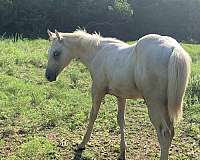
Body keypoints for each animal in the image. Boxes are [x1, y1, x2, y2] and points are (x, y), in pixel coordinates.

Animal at [45, 29, 191, 159]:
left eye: (56, 53)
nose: (48, 76)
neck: (97, 52)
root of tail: (174, 48)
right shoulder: (121, 96)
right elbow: (121, 120)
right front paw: (122, 152)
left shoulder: (97, 89)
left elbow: (93, 115)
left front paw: (82, 144)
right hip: (165, 105)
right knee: (171, 132)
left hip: (154, 104)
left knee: (164, 134)